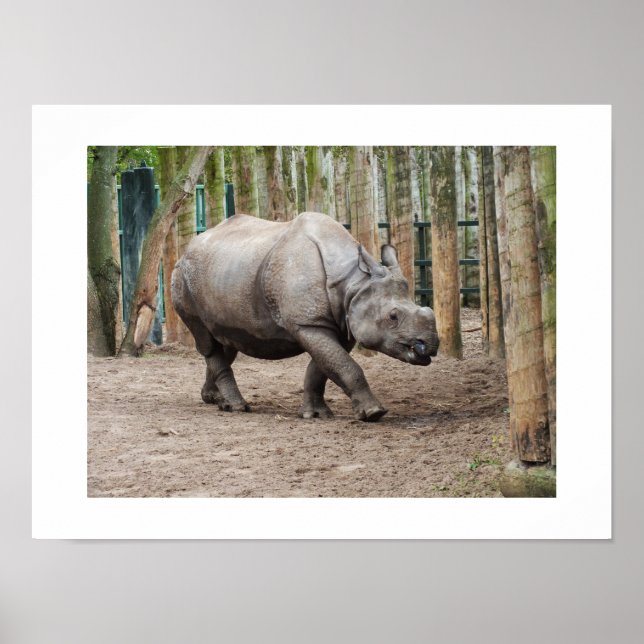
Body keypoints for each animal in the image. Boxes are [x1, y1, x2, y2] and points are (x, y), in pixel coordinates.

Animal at [171, 212, 439, 422]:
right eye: (393, 316)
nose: (430, 344)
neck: (354, 283)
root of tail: (187, 249)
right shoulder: (308, 324)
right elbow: (344, 365)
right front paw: (374, 413)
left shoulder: (338, 325)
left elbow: (322, 368)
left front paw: (316, 415)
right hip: (182, 277)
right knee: (207, 340)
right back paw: (237, 407)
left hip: (224, 272)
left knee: (225, 341)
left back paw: (213, 399)